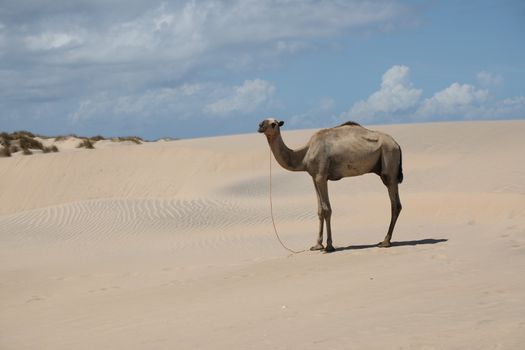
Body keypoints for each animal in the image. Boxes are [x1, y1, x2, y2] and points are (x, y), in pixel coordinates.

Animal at [258, 119, 402, 253]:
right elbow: (320, 210)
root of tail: (397, 144)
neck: (305, 155)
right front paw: (317, 245)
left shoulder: (321, 176)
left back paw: (385, 242)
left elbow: (327, 210)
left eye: (273, 124)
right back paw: (385, 241)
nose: (260, 125)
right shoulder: (314, 177)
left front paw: (329, 246)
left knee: (395, 204)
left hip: (389, 162)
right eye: (264, 121)